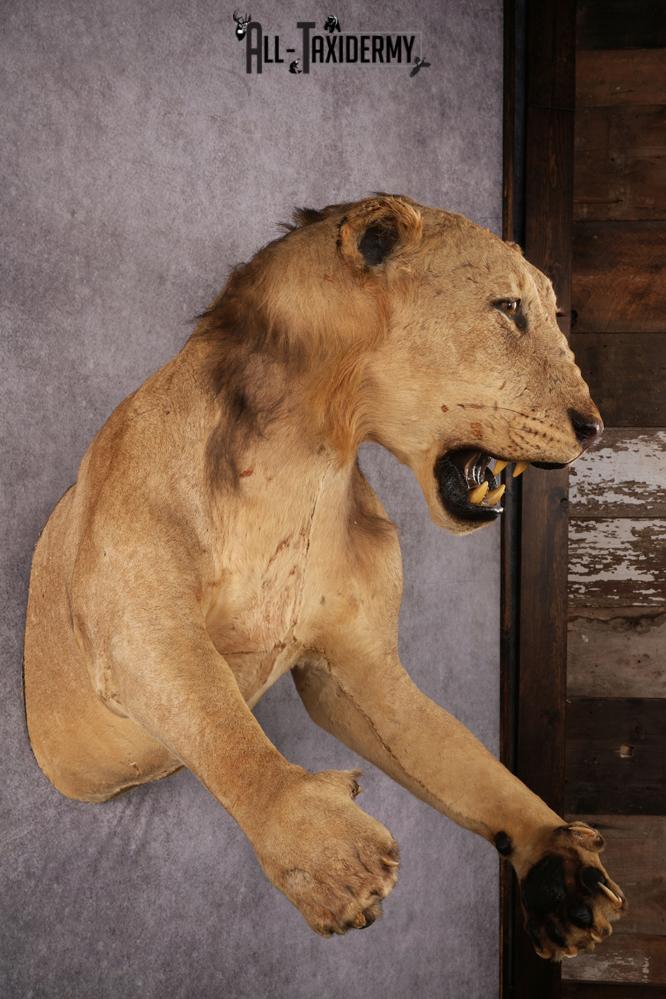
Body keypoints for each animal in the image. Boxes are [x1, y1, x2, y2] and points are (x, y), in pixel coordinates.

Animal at [24, 194, 625, 959]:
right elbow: (219, 727)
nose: (594, 427)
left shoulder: (357, 665)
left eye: (548, 311)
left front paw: (554, 864)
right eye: (510, 308)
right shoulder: (135, 624)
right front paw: (324, 852)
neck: (305, 457)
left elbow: (454, 757)